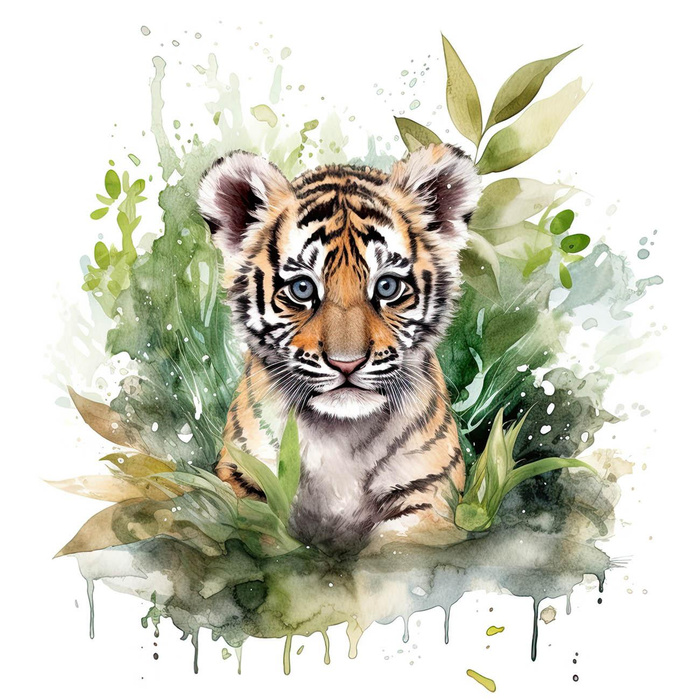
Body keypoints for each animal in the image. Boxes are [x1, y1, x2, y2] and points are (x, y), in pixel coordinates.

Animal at [197, 143, 482, 554]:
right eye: (302, 289)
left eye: (387, 287)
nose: (347, 364)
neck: (340, 435)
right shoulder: (244, 481)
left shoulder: (427, 496)